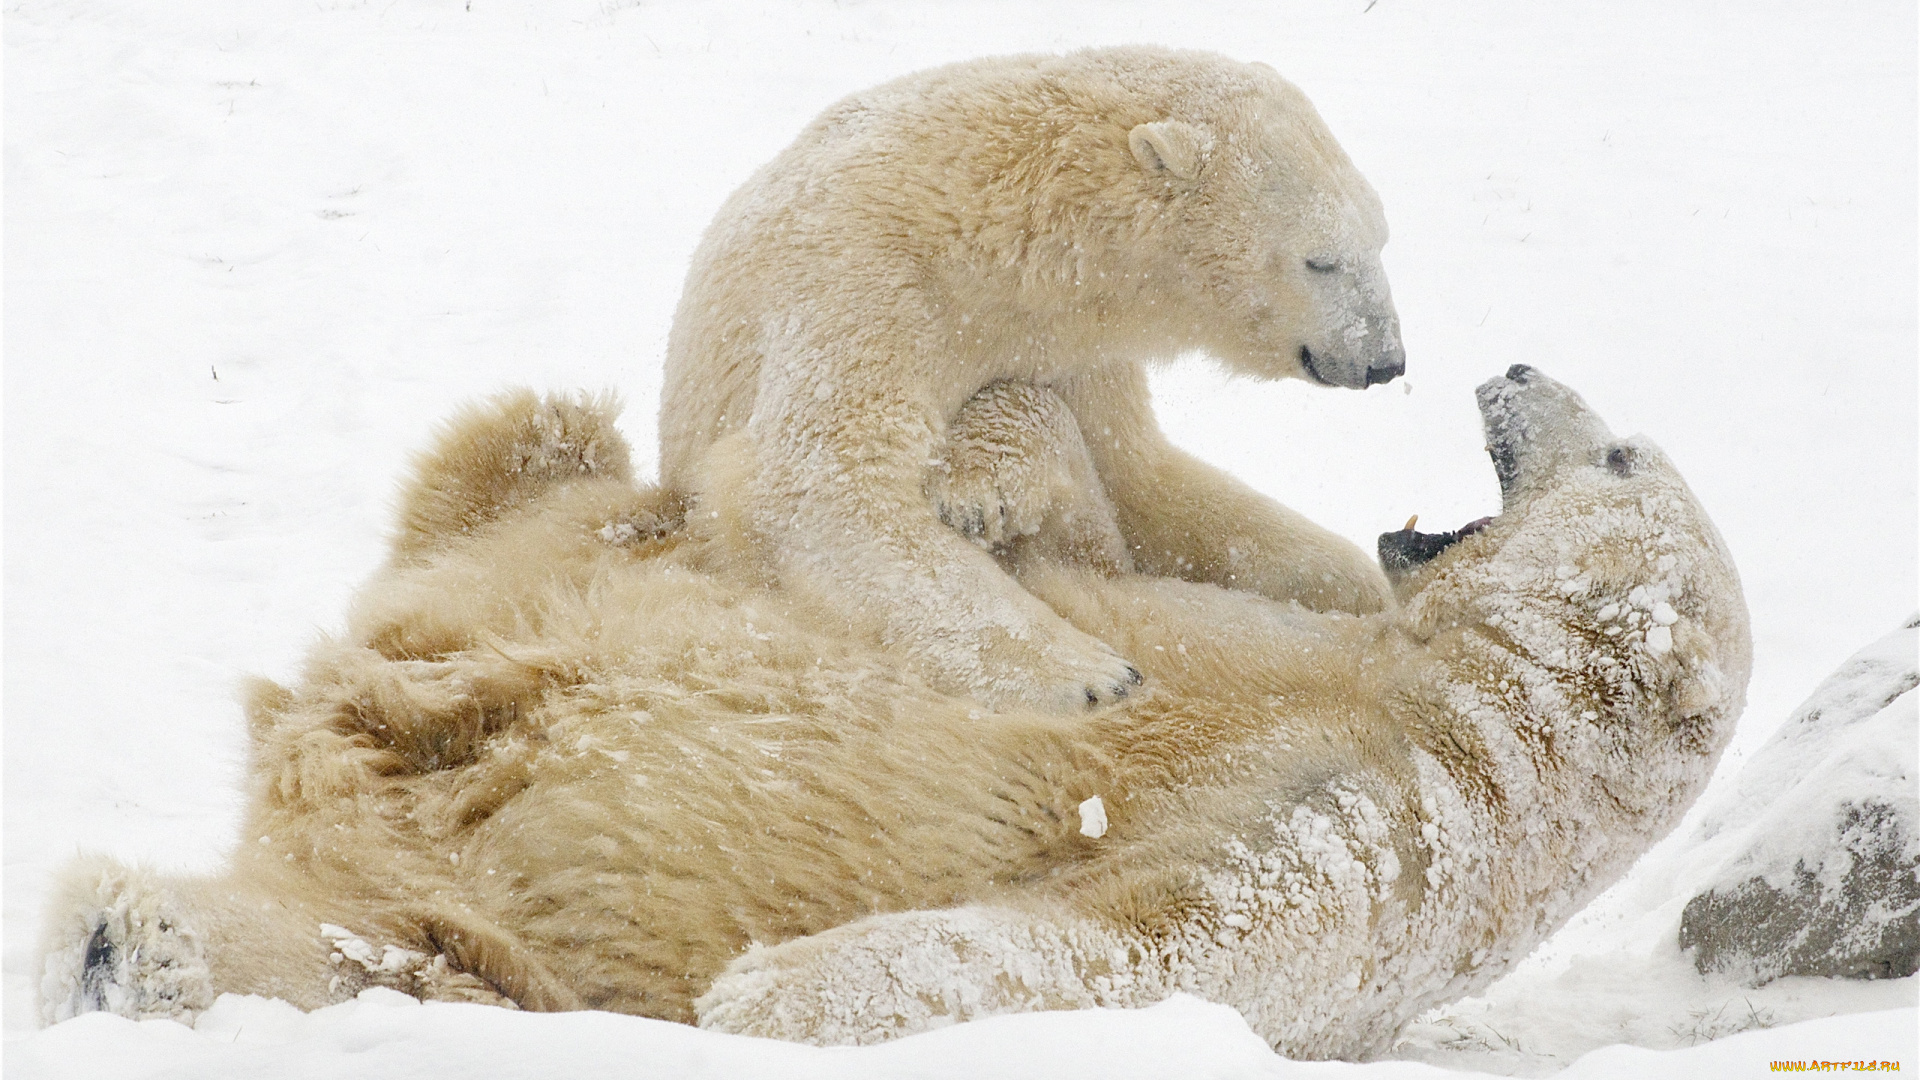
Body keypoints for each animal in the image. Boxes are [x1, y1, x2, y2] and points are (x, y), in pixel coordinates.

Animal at [41, 365, 1758, 1053]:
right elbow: (1086, 559)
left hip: (490, 937)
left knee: (397, 951)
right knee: (537, 463)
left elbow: (1134, 940)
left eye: (1621, 455)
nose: (1517, 366)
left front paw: (767, 997)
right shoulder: (1286, 646)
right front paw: (981, 478)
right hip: (502, 578)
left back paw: (138, 944)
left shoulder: (1385, 820)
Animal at [656, 48, 1397, 714]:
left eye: (1383, 239)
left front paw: (1354, 584)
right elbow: (815, 483)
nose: (1386, 360)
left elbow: (1140, 479)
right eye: (1320, 260)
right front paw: (1093, 672)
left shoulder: (1074, 347)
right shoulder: (864, 280)